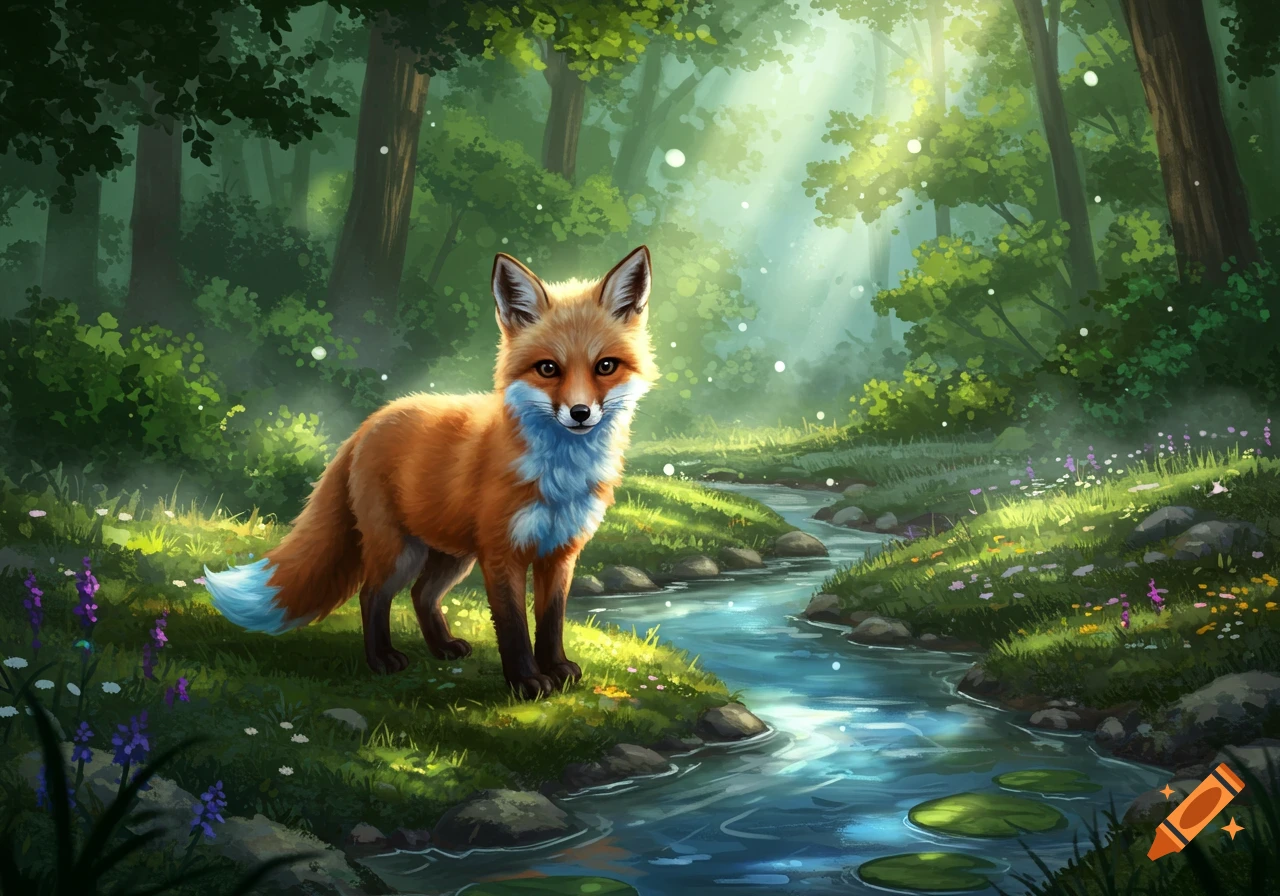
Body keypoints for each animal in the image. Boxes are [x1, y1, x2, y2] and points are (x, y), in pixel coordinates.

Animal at [202, 246, 658, 699]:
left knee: (422, 594)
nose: (580, 413)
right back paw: (382, 660)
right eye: (548, 369)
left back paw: (442, 647)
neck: (560, 475)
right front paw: (526, 681)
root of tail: (371, 422)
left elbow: (551, 620)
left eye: (605, 366)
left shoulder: (560, 553)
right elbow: (513, 625)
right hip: (401, 552)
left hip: (452, 556)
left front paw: (558, 669)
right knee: (372, 594)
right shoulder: (502, 554)